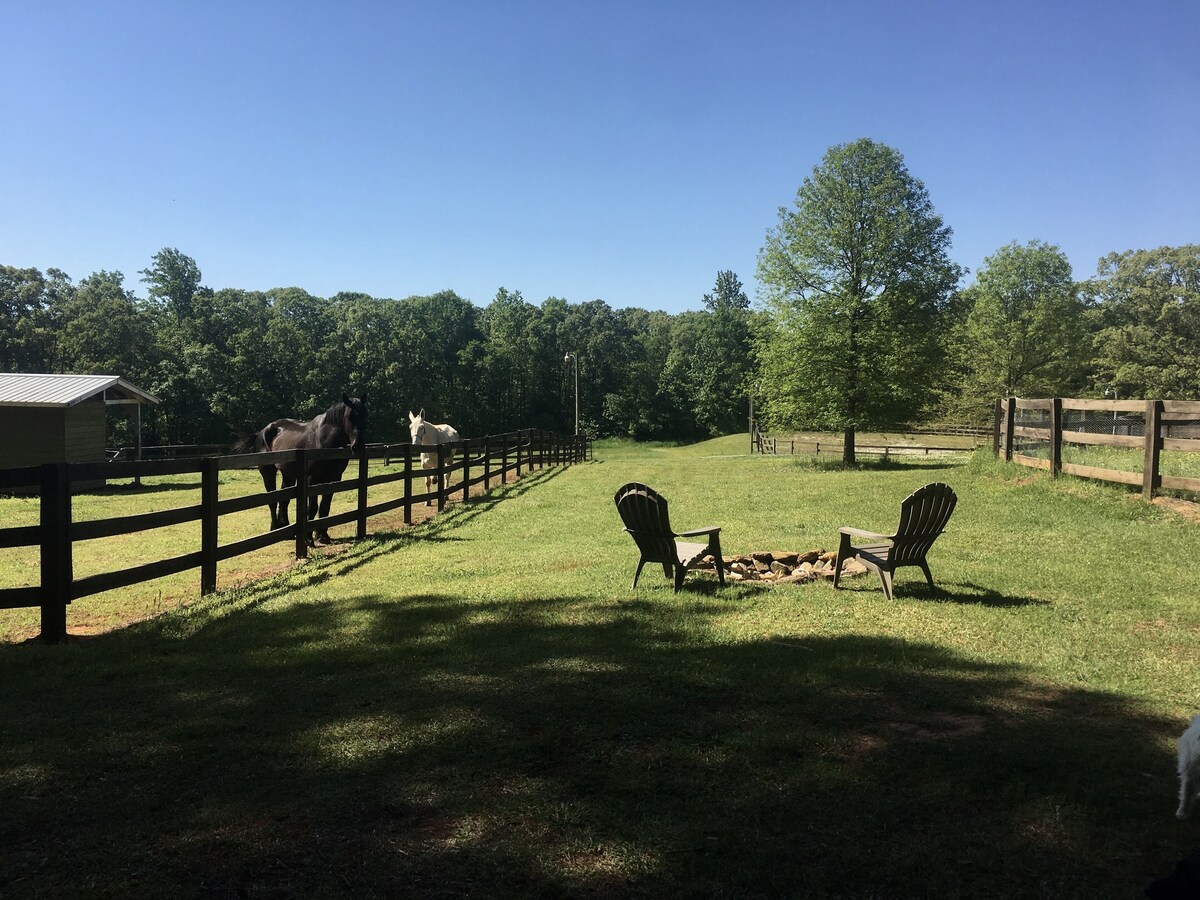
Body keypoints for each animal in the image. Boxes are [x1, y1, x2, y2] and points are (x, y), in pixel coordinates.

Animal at [232, 393, 364, 542]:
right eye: (349, 417)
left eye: (365, 415)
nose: (358, 446)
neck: (323, 441)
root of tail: (262, 432)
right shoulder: (312, 479)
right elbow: (312, 507)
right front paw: (309, 539)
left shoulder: (334, 478)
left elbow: (325, 506)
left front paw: (322, 536)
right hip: (268, 472)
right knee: (272, 501)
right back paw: (275, 529)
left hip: (288, 475)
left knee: (284, 500)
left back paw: (286, 530)